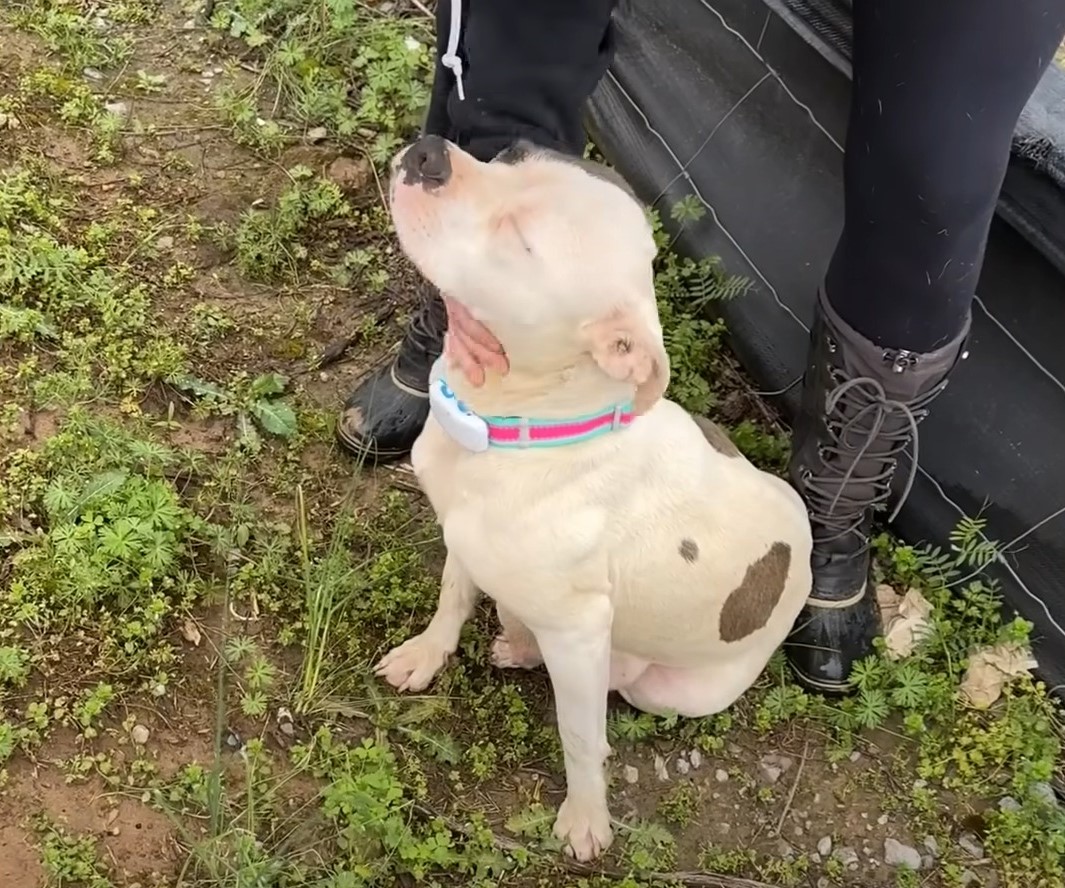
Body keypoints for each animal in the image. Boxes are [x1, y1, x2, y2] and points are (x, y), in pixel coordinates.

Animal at [377, 136, 813, 860]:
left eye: (521, 240)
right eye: (511, 153)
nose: (431, 151)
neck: (517, 423)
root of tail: (804, 550)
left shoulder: (581, 635)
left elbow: (580, 736)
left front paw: (586, 818)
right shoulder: (463, 538)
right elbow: (452, 598)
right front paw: (426, 653)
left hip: (677, 691)